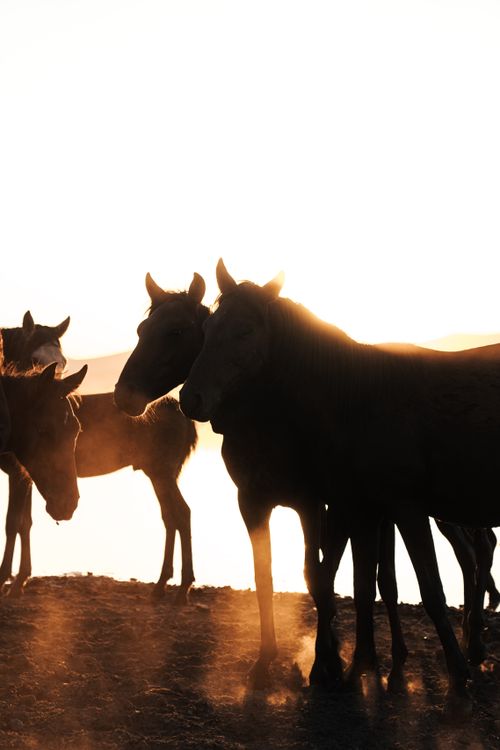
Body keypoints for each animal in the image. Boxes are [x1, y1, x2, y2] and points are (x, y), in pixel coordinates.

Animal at [0, 314, 197, 603]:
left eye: (63, 360)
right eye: (34, 357)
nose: (62, 390)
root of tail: (179, 410)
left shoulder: (18, 474)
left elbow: (14, 523)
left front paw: (11, 580)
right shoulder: (25, 474)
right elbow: (25, 523)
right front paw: (19, 580)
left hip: (161, 473)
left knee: (181, 514)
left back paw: (182, 587)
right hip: (161, 475)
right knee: (170, 516)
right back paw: (162, 583)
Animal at [180, 259, 500, 707]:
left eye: (244, 331)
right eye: (207, 328)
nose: (190, 399)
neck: (357, 399)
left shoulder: (403, 508)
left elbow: (430, 591)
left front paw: (455, 674)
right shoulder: (360, 509)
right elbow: (362, 585)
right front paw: (357, 668)